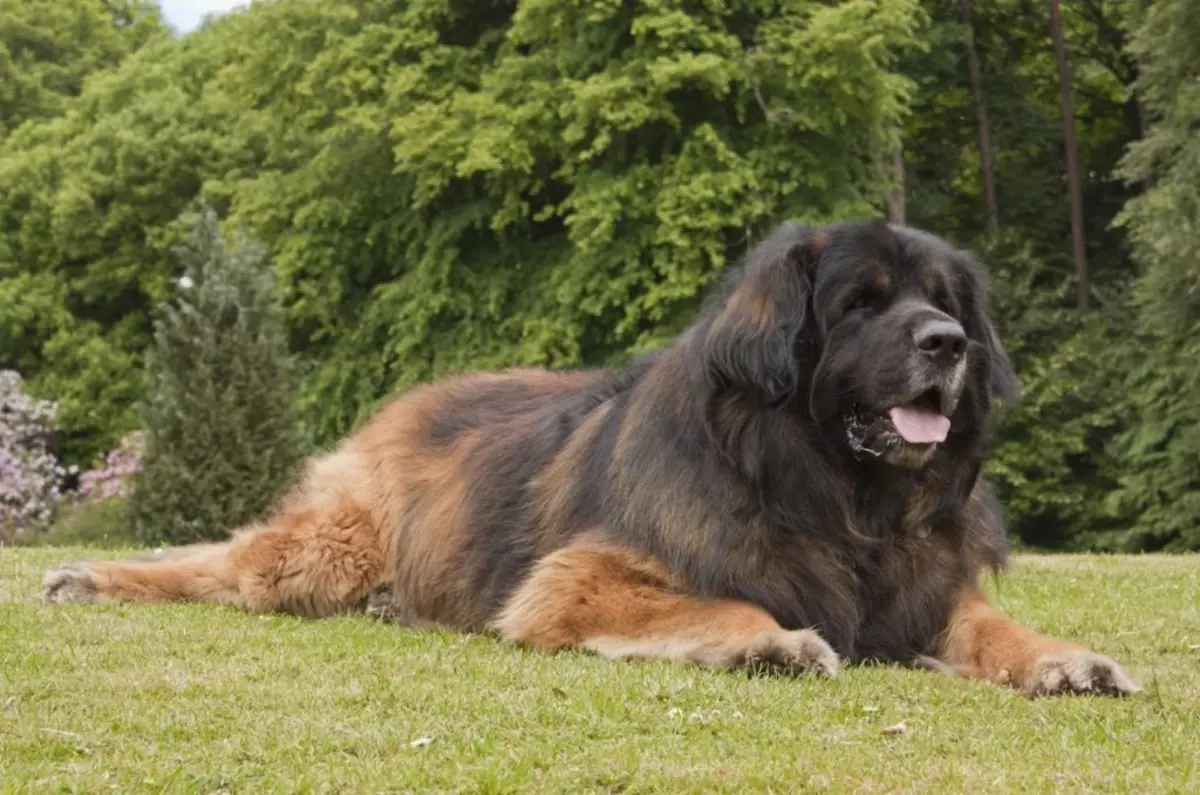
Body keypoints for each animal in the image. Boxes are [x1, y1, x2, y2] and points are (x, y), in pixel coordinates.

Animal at [42, 219, 1137, 696]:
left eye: (946, 306)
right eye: (862, 304)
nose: (947, 348)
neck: (837, 498)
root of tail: (421, 391)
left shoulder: (921, 588)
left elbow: (993, 625)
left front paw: (1064, 657)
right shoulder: (576, 579)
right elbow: (727, 603)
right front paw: (774, 642)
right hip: (333, 543)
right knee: (226, 564)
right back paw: (91, 575)